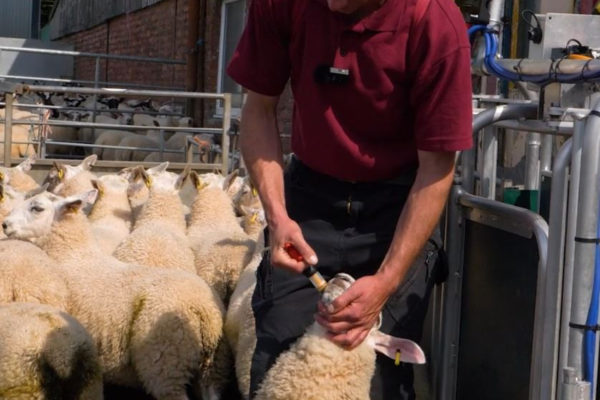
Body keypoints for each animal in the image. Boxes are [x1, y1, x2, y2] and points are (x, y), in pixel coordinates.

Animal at [3, 188, 229, 400]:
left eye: (37, 208)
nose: (5, 224)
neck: (73, 256)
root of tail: (205, 311)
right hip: (212, 366)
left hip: (166, 359)